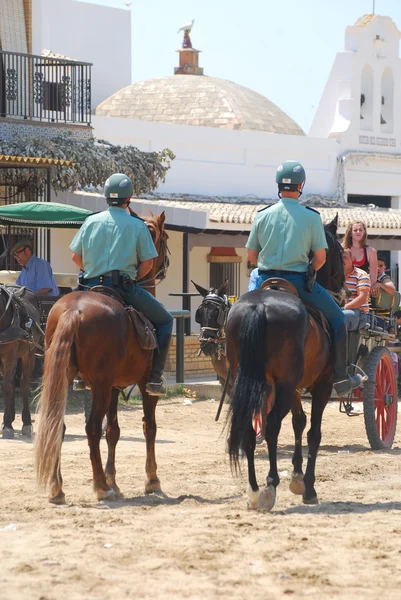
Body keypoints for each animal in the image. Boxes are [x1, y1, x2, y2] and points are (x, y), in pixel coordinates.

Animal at [0, 286, 42, 440]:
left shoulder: (10, 357)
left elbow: (6, 388)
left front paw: (7, 426)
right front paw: (7, 422)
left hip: (29, 354)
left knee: (23, 385)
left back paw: (27, 423)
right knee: (13, 383)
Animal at [34, 211, 170, 502]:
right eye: (164, 237)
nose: (165, 264)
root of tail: (73, 310)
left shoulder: (114, 387)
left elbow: (114, 432)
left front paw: (114, 480)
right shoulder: (143, 386)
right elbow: (148, 427)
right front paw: (151, 480)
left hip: (70, 380)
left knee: (57, 426)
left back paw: (57, 488)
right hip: (100, 385)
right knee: (92, 428)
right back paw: (99, 486)